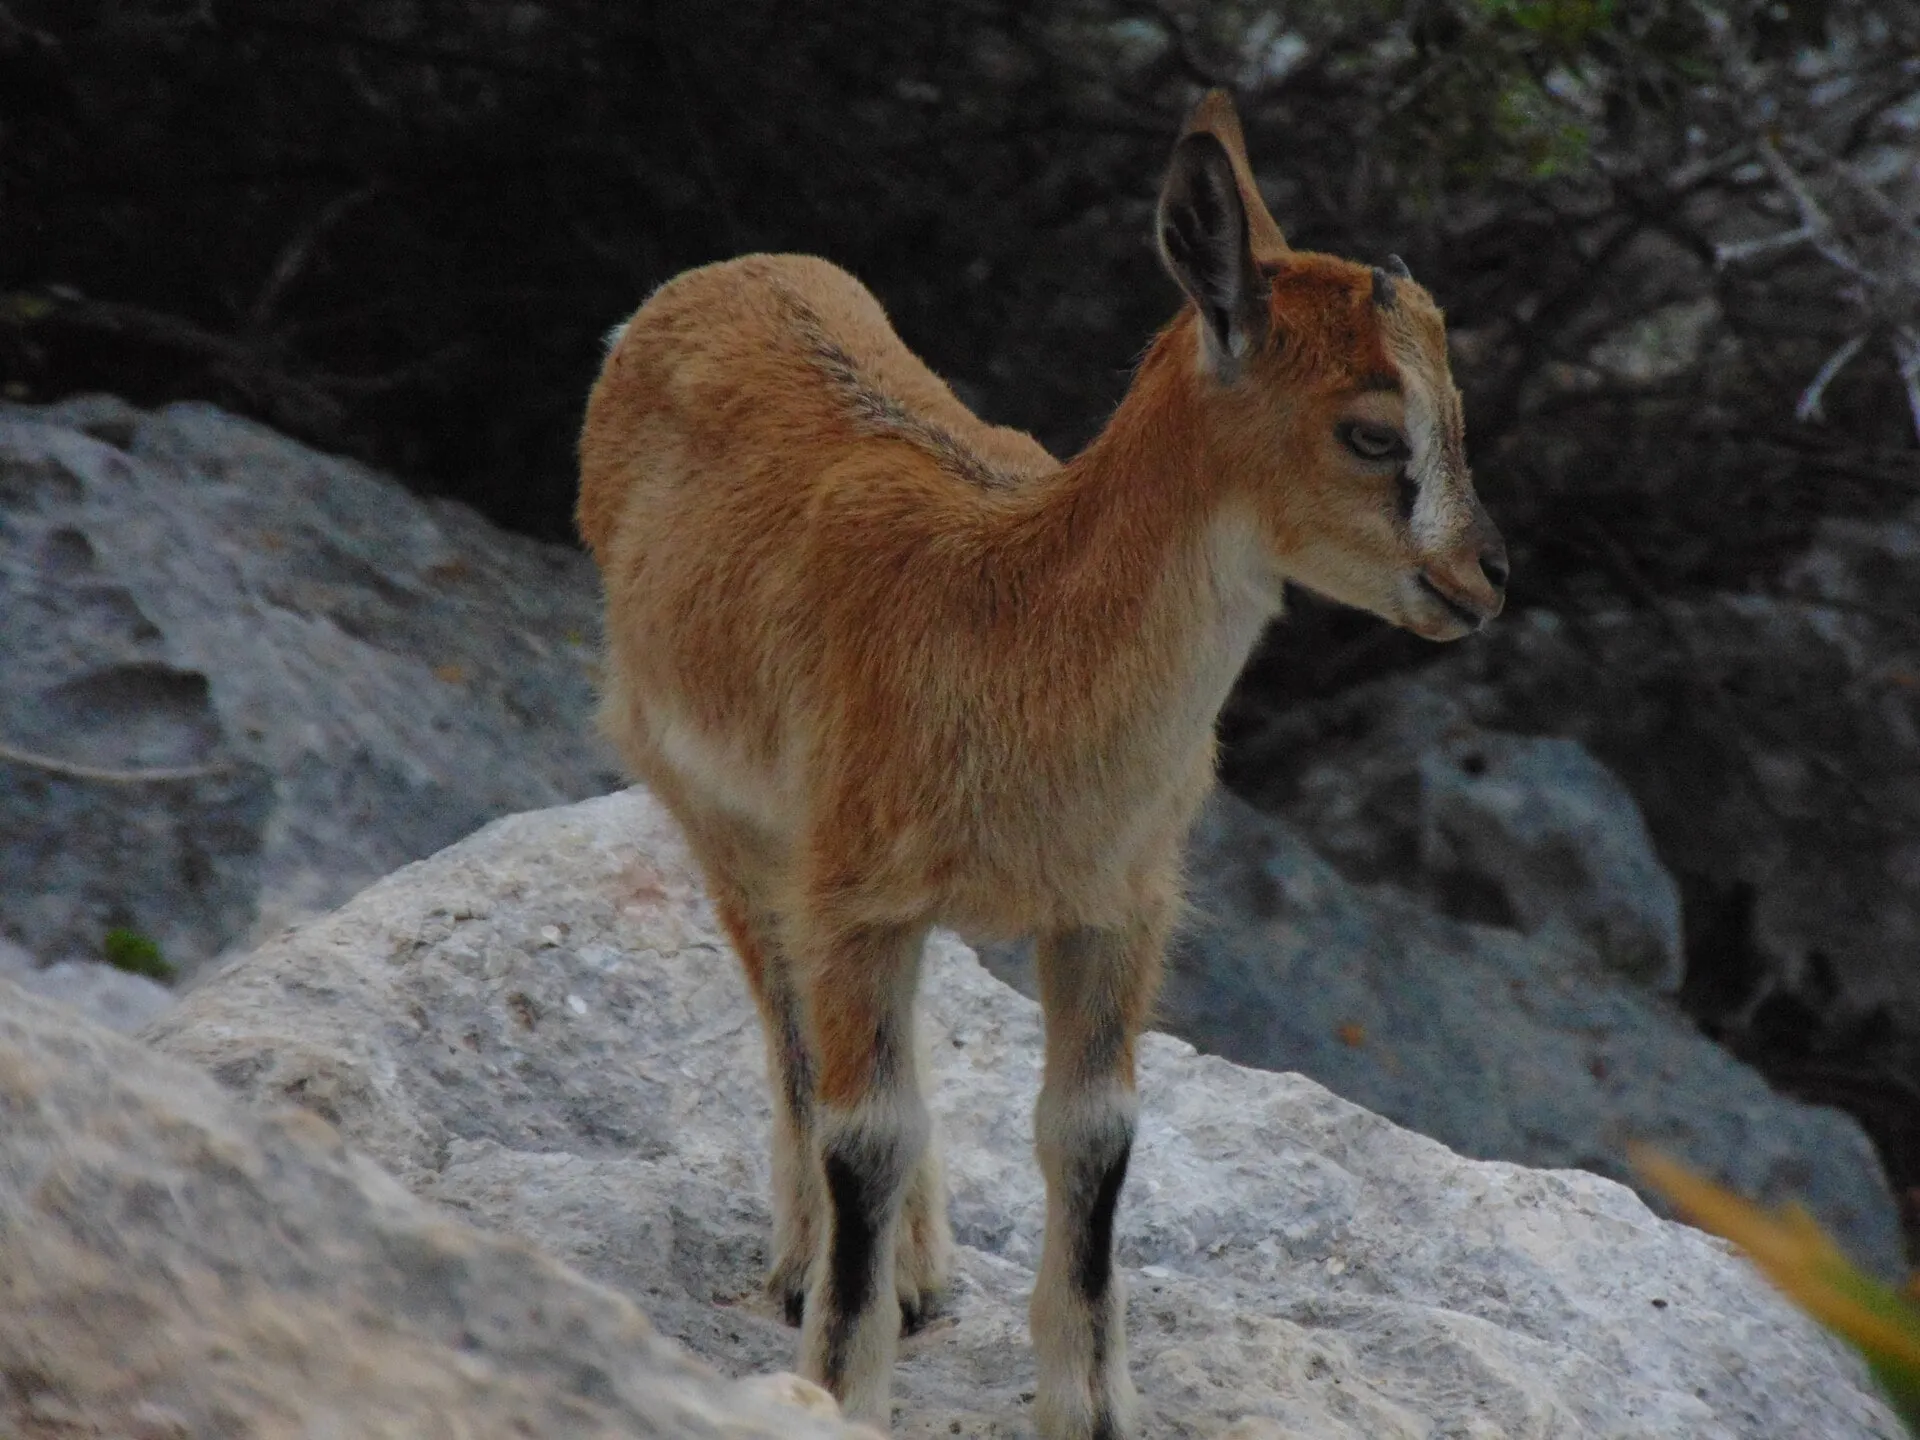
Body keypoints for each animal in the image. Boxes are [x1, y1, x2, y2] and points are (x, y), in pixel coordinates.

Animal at [577, 89, 1506, 1440]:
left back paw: (925, 1266)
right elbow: (864, 1132)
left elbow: (1093, 1135)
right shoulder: (855, 891)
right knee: (793, 1027)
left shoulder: (1117, 908)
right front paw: (838, 1385)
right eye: (1376, 431)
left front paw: (1095, 1408)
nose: (1483, 581)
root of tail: (688, 290)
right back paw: (818, 1258)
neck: (1012, 636)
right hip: (714, 805)